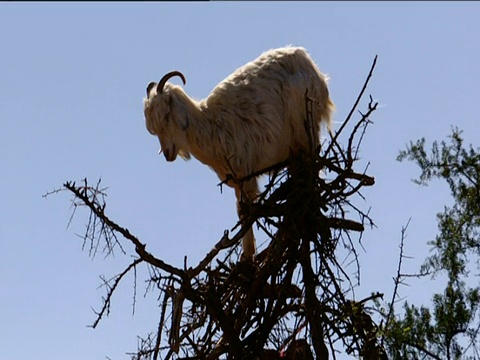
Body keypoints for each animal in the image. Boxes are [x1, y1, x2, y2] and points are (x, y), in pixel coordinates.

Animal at [144, 46, 336, 260]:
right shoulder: (237, 180)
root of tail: (308, 62)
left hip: (306, 120)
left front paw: (247, 257)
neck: (212, 127)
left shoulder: (245, 173)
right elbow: (240, 210)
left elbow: (245, 212)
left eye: (166, 116)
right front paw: (247, 255)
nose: (167, 153)